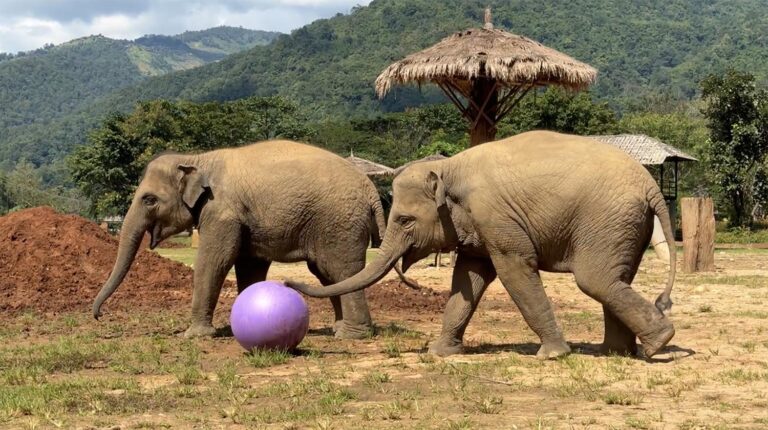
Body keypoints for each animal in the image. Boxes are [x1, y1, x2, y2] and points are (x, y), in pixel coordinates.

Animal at [93, 139, 415, 339]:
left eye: (149, 200)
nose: (98, 316)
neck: (197, 157)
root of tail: (371, 190)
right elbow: (249, 266)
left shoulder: (222, 212)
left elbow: (215, 260)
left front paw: (194, 336)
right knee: (327, 275)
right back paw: (338, 329)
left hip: (339, 223)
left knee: (341, 270)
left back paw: (351, 335)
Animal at [287, 131, 677, 359]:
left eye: (404, 220)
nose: (289, 283)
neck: (450, 166)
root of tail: (650, 186)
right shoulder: (477, 227)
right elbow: (468, 278)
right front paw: (439, 353)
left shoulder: (496, 218)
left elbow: (514, 270)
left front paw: (553, 355)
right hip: (623, 226)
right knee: (616, 279)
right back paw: (619, 351)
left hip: (608, 220)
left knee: (595, 279)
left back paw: (659, 342)